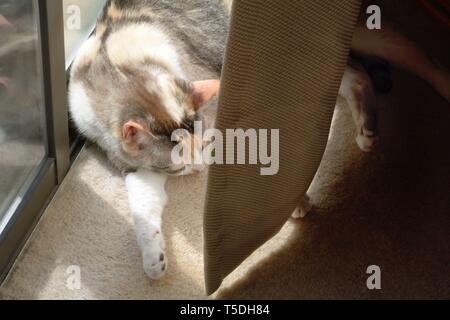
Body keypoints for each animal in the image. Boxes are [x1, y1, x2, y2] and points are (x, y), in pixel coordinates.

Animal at [67, 0, 450, 278]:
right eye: (181, 164)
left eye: (203, 147)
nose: (202, 169)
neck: (117, 65)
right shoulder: (137, 172)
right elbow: (143, 212)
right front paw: (153, 260)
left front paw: (293, 201)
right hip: (317, 60)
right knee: (357, 76)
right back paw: (367, 131)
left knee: (417, 56)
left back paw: (442, 85)